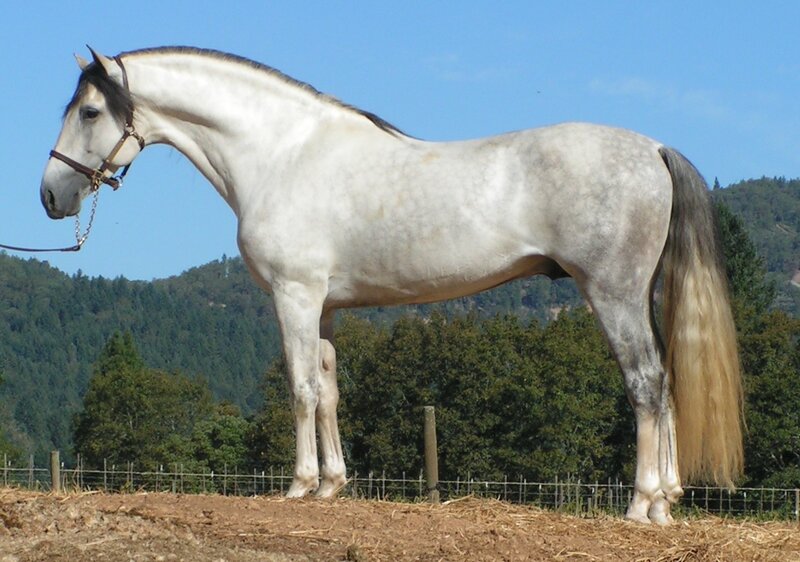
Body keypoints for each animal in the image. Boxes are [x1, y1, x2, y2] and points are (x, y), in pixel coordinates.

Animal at [40, 47, 743, 524]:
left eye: (91, 111)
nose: (51, 195)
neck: (281, 154)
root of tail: (652, 148)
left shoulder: (293, 296)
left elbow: (299, 389)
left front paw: (298, 486)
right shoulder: (323, 306)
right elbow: (328, 391)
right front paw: (332, 485)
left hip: (613, 294)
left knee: (645, 383)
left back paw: (643, 505)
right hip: (640, 296)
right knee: (666, 381)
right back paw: (669, 497)